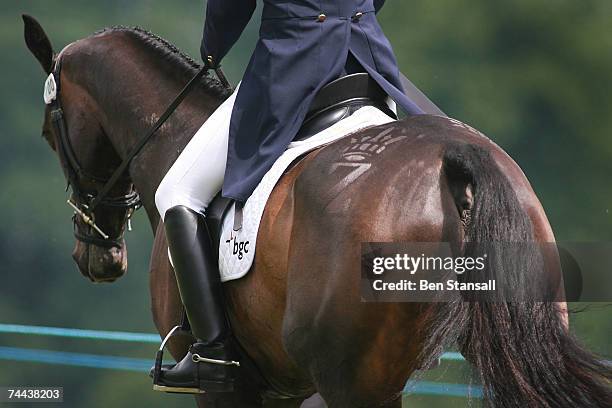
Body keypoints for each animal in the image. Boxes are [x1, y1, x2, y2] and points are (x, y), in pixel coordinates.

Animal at [25, 15, 612, 408]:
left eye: (49, 134)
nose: (96, 257)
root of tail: (455, 159)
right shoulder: (287, 388)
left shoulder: (229, 390)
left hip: (352, 379)